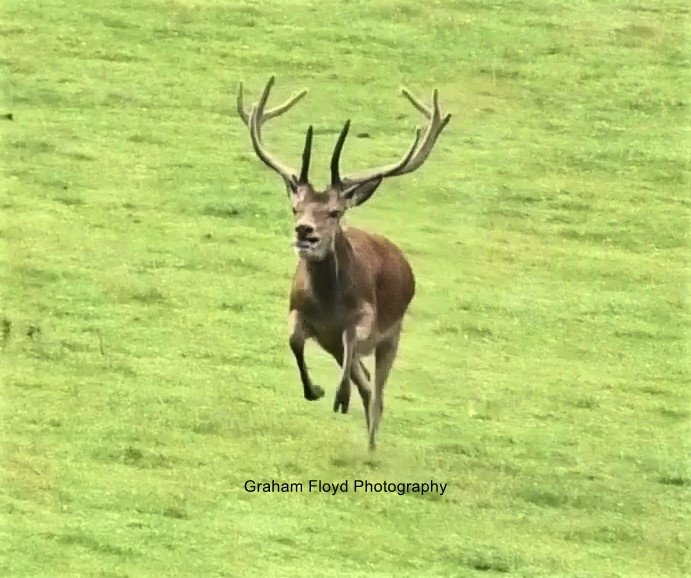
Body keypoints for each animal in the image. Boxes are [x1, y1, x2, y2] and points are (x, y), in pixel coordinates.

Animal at [235, 77, 450, 450]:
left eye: (334, 212)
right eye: (296, 208)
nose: (305, 232)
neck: (330, 306)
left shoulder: (366, 316)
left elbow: (353, 341)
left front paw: (338, 396)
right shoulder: (299, 312)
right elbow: (294, 342)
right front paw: (318, 391)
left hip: (394, 331)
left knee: (377, 391)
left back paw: (371, 442)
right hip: (340, 344)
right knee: (365, 382)